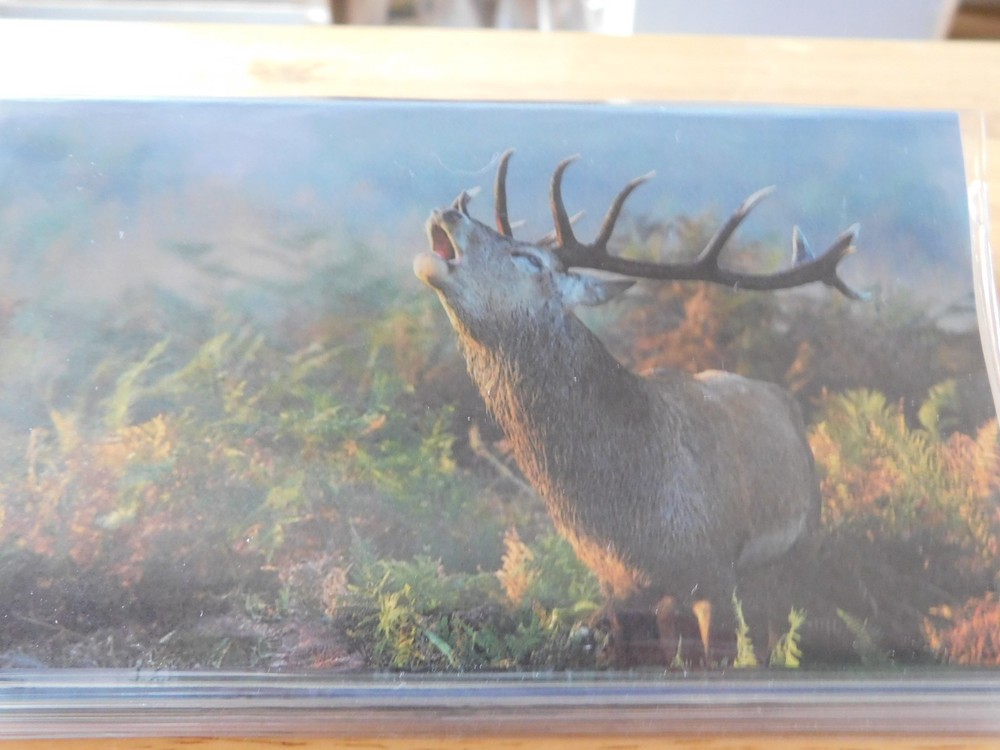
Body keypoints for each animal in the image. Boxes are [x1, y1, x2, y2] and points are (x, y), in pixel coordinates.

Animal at [413, 149, 864, 666]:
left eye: (528, 258)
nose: (448, 212)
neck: (628, 519)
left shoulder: (715, 570)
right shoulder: (617, 586)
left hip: (803, 539)